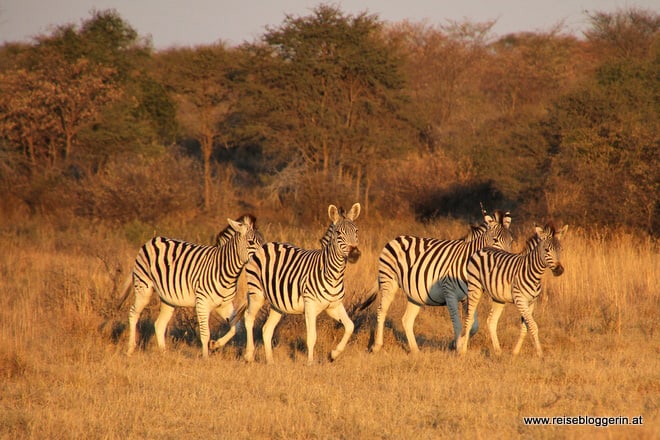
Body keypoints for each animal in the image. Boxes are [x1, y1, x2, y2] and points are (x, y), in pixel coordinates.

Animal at [121, 216, 262, 358]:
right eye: (250, 242)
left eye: (262, 242)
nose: (261, 258)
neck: (226, 272)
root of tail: (152, 240)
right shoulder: (202, 303)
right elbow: (205, 334)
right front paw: (205, 358)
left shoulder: (224, 305)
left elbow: (235, 328)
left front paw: (215, 344)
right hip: (143, 288)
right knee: (133, 314)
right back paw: (130, 350)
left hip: (168, 299)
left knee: (159, 324)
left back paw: (164, 354)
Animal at [244, 203, 360, 364]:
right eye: (338, 233)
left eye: (356, 231)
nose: (355, 254)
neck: (334, 275)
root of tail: (265, 246)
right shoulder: (310, 305)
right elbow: (311, 337)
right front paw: (310, 363)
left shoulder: (334, 306)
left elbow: (350, 326)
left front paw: (334, 354)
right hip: (257, 294)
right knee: (248, 318)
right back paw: (249, 355)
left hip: (277, 304)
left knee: (267, 329)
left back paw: (270, 361)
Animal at [374, 209, 512, 354]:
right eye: (495, 240)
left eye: (511, 241)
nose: (505, 260)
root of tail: (396, 238)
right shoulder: (449, 292)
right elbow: (457, 324)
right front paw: (458, 347)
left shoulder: (469, 296)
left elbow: (473, 325)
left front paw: (457, 344)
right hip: (388, 281)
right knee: (381, 311)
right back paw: (377, 346)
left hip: (415, 294)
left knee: (407, 320)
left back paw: (415, 350)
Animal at [456, 223, 568, 358]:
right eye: (547, 250)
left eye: (560, 250)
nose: (559, 270)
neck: (533, 272)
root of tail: (483, 248)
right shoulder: (520, 300)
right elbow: (533, 326)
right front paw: (540, 353)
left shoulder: (531, 303)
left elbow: (525, 327)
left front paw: (515, 352)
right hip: (474, 288)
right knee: (469, 319)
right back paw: (463, 351)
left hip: (498, 298)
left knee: (491, 321)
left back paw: (498, 351)